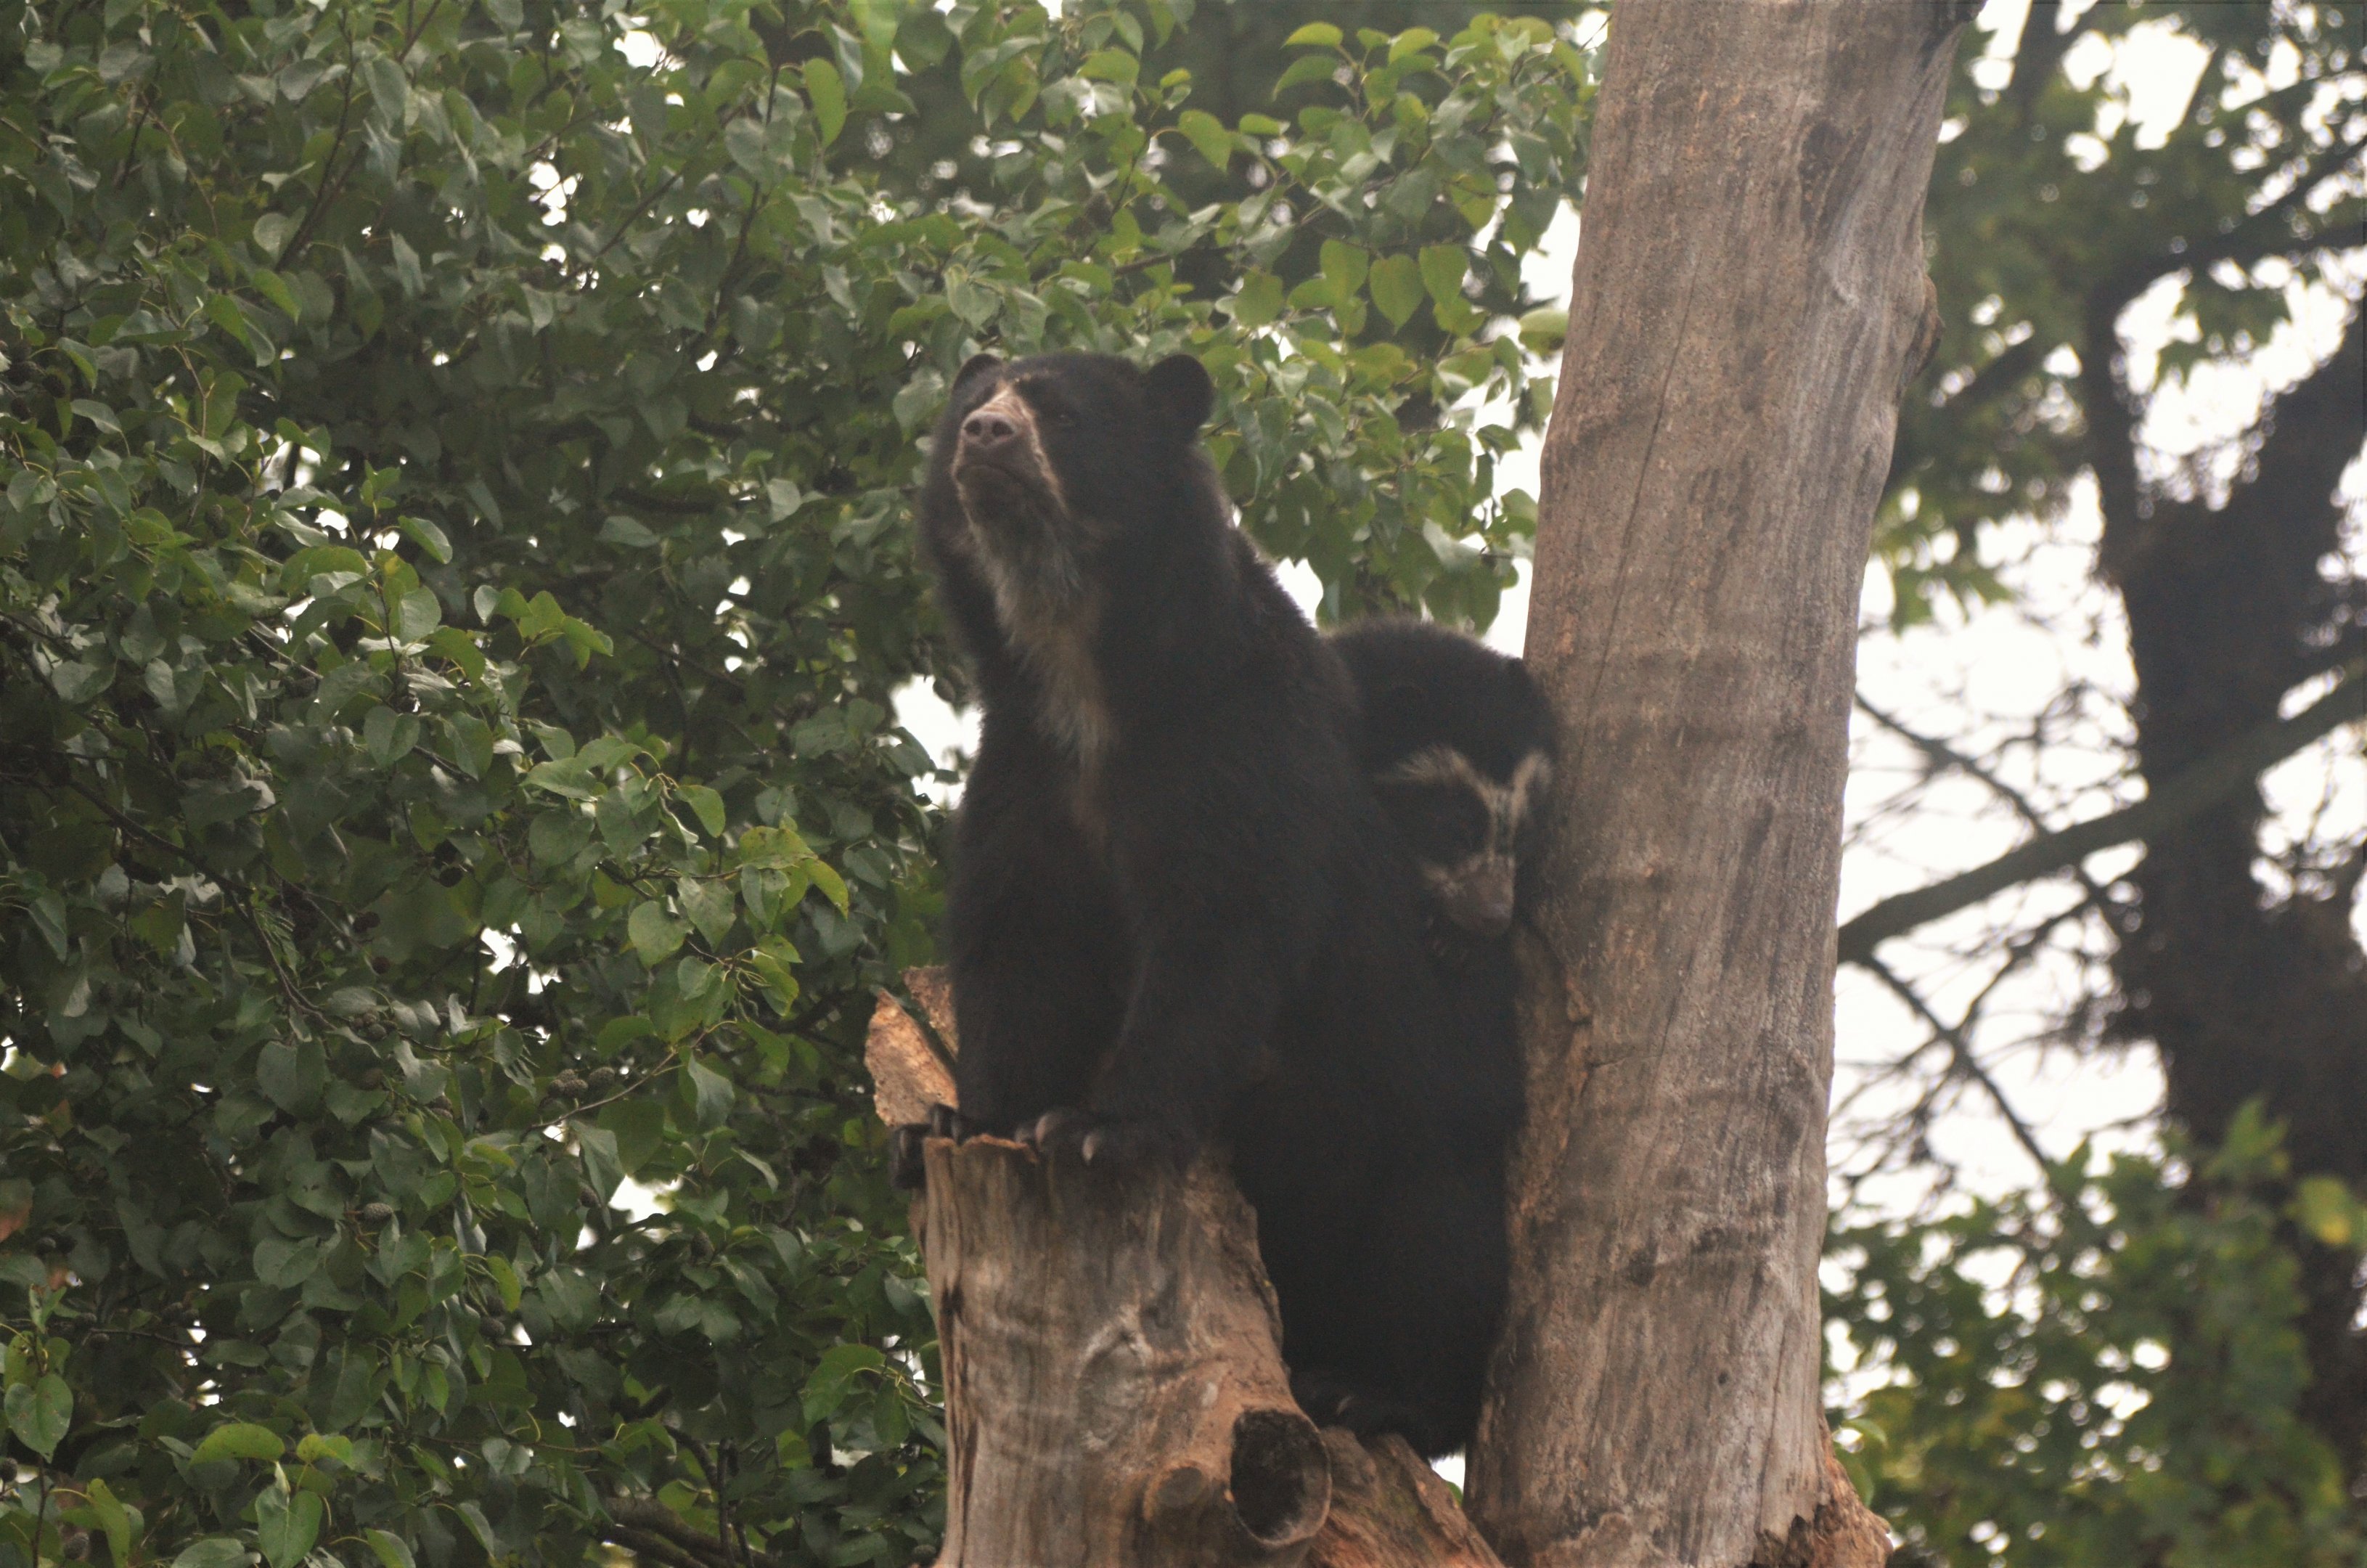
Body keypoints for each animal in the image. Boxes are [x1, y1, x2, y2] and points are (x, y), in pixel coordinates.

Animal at [903, 350, 1510, 1456]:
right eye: (973, 405)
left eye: (1061, 415)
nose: (985, 441)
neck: (1088, 678)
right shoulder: (1023, 773)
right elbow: (1019, 945)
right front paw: (961, 1125)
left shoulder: (1243, 745)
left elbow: (1221, 931)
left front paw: (1100, 1130)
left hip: (1420, 1126)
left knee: (1438, 1235)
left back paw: (1380, 1396)